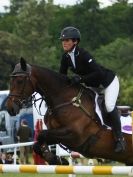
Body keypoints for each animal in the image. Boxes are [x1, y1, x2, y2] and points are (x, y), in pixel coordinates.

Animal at [5, 57, 133, 165]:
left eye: (20, 81)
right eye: (10, 81)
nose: (10, 108)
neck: (65, 99)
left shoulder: (73, 134)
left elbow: (42, 134)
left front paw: (56, 159)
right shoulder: (57, 134)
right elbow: (38, 143)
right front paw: (58, 160)